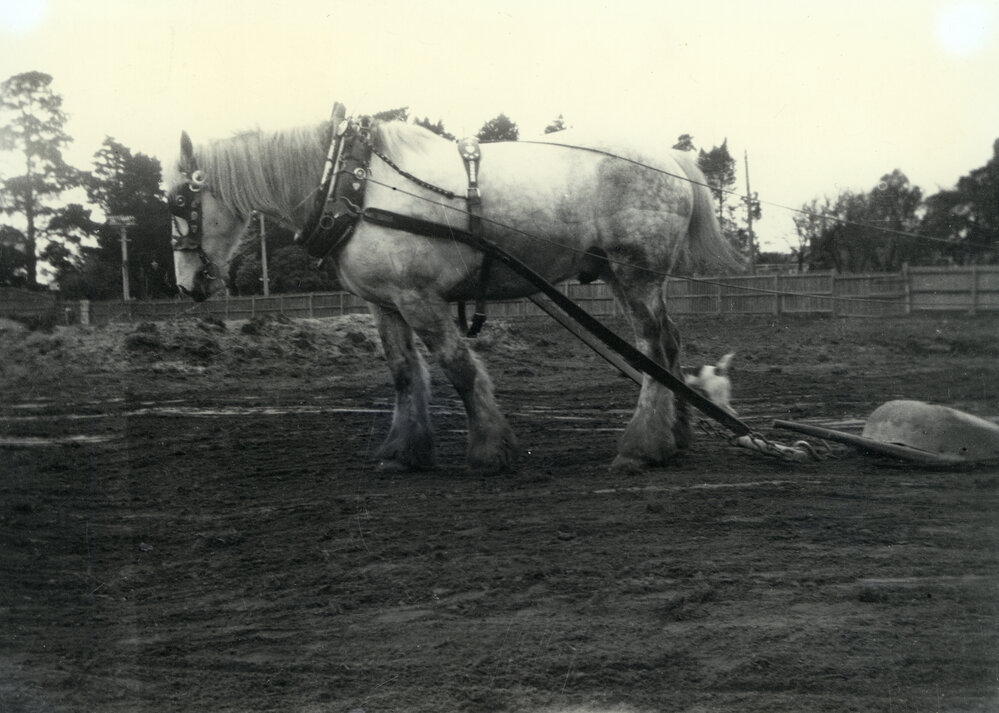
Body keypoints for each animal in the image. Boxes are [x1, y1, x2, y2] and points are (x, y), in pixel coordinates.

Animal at [167, 114, 739, 473]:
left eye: (176, 201)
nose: (187, 285)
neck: (354, 184)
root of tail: (671, 159)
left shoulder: (419, 296)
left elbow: (458, 368)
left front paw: (489, 449)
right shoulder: (384, 302)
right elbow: (404, 374)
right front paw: (403, 452)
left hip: (634, 272)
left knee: (651, 350)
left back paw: (641, 448)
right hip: (624, 277)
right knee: (669, 343)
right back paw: (675, 438)